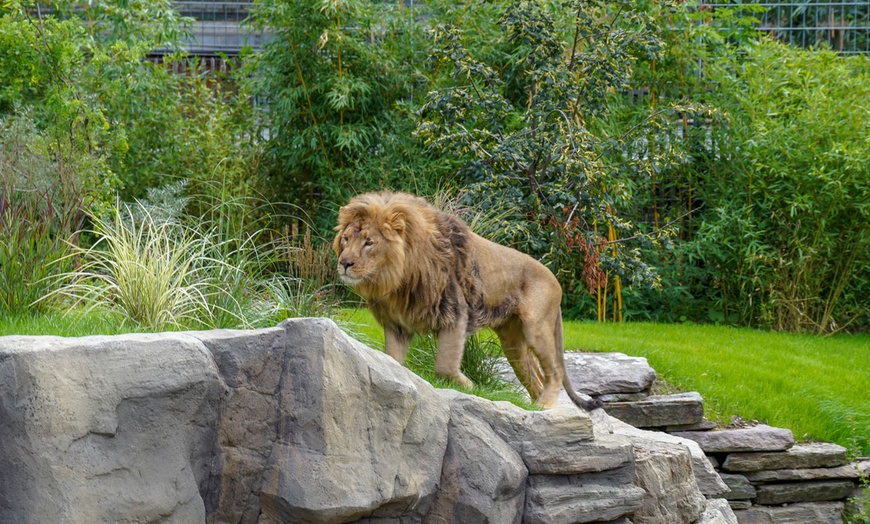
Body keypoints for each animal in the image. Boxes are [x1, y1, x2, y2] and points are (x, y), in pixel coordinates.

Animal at [334, 190, 608, 412]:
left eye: (369, 242)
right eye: (346, 239)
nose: (344, 263)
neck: (396, 280)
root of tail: (556, 280)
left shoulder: (455, 313)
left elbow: (444, 364)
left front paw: (468, 385)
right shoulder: (397, 325)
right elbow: (392, 360)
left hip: (536, 328)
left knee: (555, 371)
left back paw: (545, 405)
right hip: (513, 342)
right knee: (535, 378)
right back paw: (532, 407)